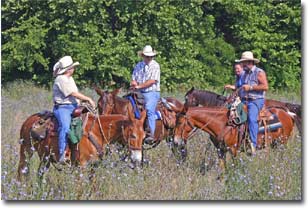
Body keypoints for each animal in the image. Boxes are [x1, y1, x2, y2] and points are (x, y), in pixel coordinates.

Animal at [17, 107, 147, 180]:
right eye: (133, 135)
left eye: (144, 136)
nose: (137, 159)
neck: (96, 132)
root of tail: (28, 120)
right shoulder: (81, 167)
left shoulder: (94, 167)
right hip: (26, 152)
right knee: (21, 171)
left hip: (45, 158)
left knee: (40, 174)